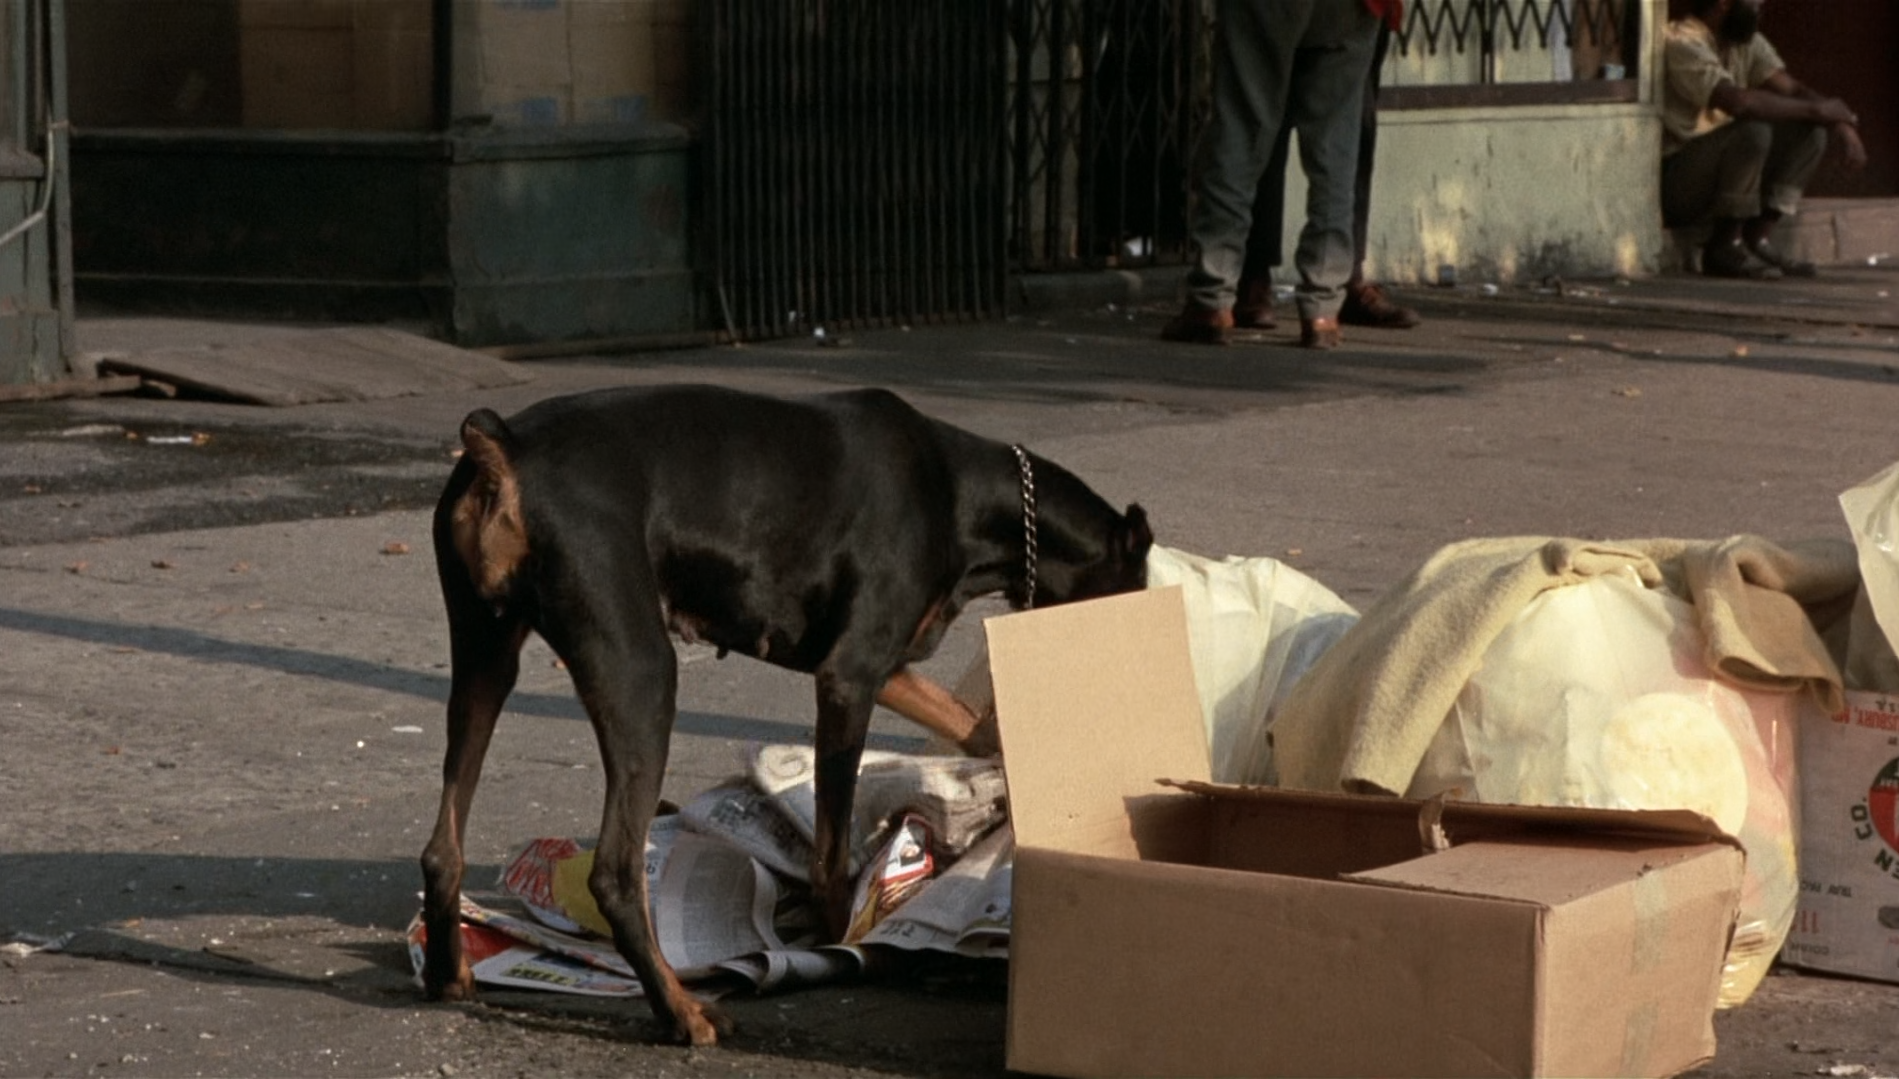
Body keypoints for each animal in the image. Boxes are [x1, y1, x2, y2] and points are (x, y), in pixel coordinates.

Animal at [418, 384, 1153, 1045]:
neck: (967, 497)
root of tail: (503, 448)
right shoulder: (849, 677)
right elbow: (830, 848)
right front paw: (839, 937)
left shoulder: (882, 665)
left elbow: (968, 722)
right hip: (638, 671)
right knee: (615, 873)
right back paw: (681, 1012)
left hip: (484, 658)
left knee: (442, 847)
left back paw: (449, 971)